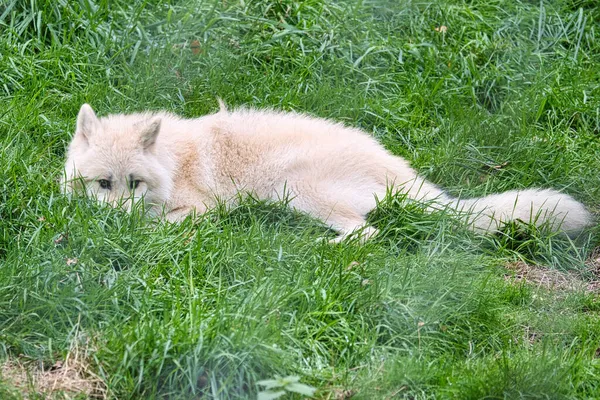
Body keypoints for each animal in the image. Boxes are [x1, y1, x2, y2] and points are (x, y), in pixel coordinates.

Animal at [61, 103, 592, 241]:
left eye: (134, 184)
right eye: (103, 184)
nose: (115, 225)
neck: (174, 159)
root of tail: (401, 170)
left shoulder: (202, 207)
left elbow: (164, 223)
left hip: (295, 189)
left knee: (367, 234)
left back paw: (321, 249)